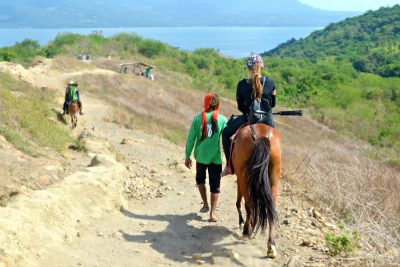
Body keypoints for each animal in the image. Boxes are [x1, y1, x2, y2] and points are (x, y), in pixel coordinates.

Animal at [231, 124, 282, 260]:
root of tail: (262, 135)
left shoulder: (239, 179)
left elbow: (239, 202)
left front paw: (241, 222)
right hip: (273, 181)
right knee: (271, 210)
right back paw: (271, 246)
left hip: (245, 179)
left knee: (250, 207)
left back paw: (247, 230)